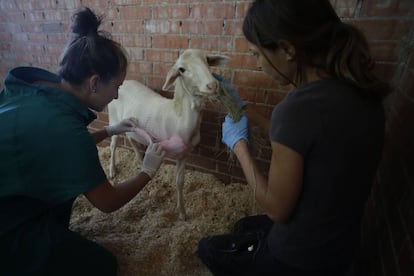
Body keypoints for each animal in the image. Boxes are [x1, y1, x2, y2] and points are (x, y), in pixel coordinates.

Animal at [106, 48, 230, 220]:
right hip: (114, 120)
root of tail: (124, 83)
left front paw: (182, 212)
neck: (179, 118)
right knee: (113, 144)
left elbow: (180, 182)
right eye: (181, 69)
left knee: (131, 138)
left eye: (207, 60)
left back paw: (139, 159)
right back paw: (112, 171)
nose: (212, 85)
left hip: (130, 124)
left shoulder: (184, 154)